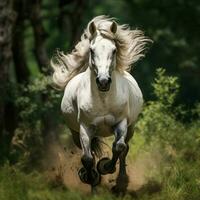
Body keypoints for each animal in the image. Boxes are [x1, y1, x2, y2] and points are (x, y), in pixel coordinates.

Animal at [50, 16, 151, 192]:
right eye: (91, 50)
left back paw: (121, 183)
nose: (103, 81)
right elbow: (87, 158)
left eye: (114, 50)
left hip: (131, 128)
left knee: (124, 149)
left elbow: (118, 147)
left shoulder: (121, 123)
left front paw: (104, 167)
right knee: (89, 151)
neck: (104, 100)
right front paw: (91, 180)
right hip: (75, 133)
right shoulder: (85, 127)